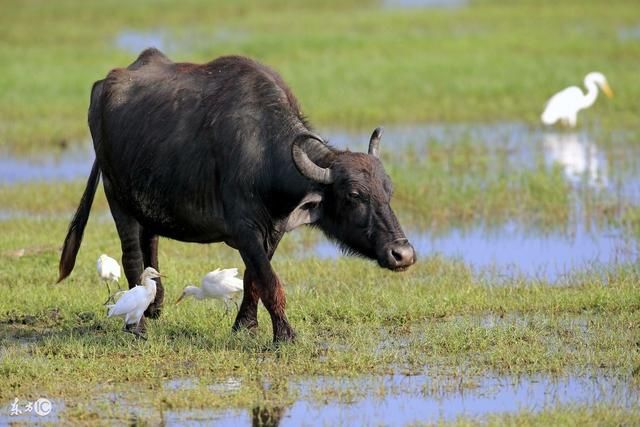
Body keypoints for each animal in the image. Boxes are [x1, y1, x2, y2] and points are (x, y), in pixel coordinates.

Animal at [58, 49, 416, 344]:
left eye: (388, 191)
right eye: (354, 195)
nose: (403, 254)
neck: (264, 153)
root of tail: (103, 86)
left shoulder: (273, 231)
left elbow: (253, 278)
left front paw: (245, 325)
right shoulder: (245, 229)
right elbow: (269, 281)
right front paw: (285, 335)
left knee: (152, 243)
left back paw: (154, 307)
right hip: (117, 197)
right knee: (132, 256)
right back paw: (138, 325)